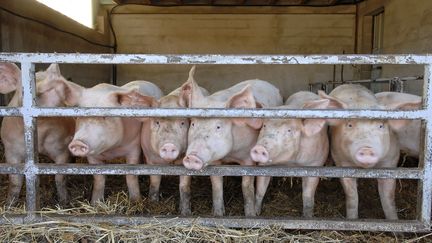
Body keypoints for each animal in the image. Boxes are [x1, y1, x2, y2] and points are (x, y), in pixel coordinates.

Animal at [0, 62, 74, 205]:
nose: (53, 80)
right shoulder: (11, 150)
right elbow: (15, 181)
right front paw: (9, 205)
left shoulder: (62, 150)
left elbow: (60, 178)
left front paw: (64, 202)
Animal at [140, 66, 209, 215]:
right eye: (157, 122)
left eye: (182, 123)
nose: (169, 145)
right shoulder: (151, 159)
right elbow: (154, 183)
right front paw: (153, 204)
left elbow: (184, 187)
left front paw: (185, 213)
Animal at [180, 72, 284, 216]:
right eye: (194, 124)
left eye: (218, 127)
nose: (191, 156)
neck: (231, 154)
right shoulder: (215, 159)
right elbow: (216, 184)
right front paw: (218, 214)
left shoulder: (249, 157)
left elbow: (247, 187)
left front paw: (250, 215)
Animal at [318, 84, 418, 219]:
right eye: (350, 125)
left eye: (381, 126)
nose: (366, 149)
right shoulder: (341, 161)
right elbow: (352, 197)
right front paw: (352, 220)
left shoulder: (391, 161)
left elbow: (388, 197)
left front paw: (395, 222)